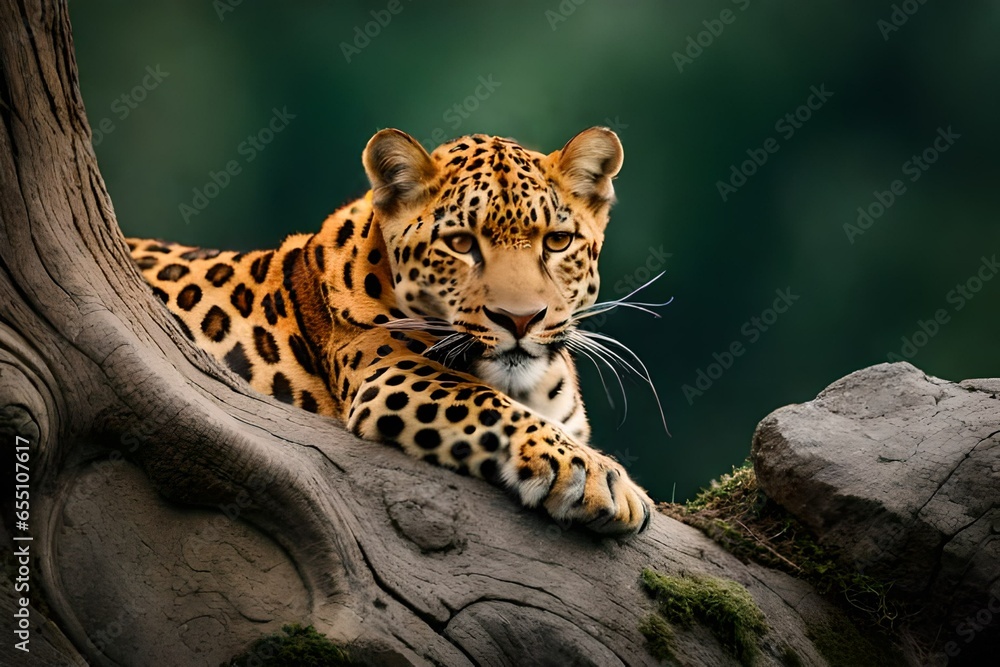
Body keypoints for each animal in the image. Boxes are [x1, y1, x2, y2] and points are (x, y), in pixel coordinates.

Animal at [127, 127, 655, 535]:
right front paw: (598, 477)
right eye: (460, 243)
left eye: (558, 242)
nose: (521, 319)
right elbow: (484, 399)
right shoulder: (391, 376)